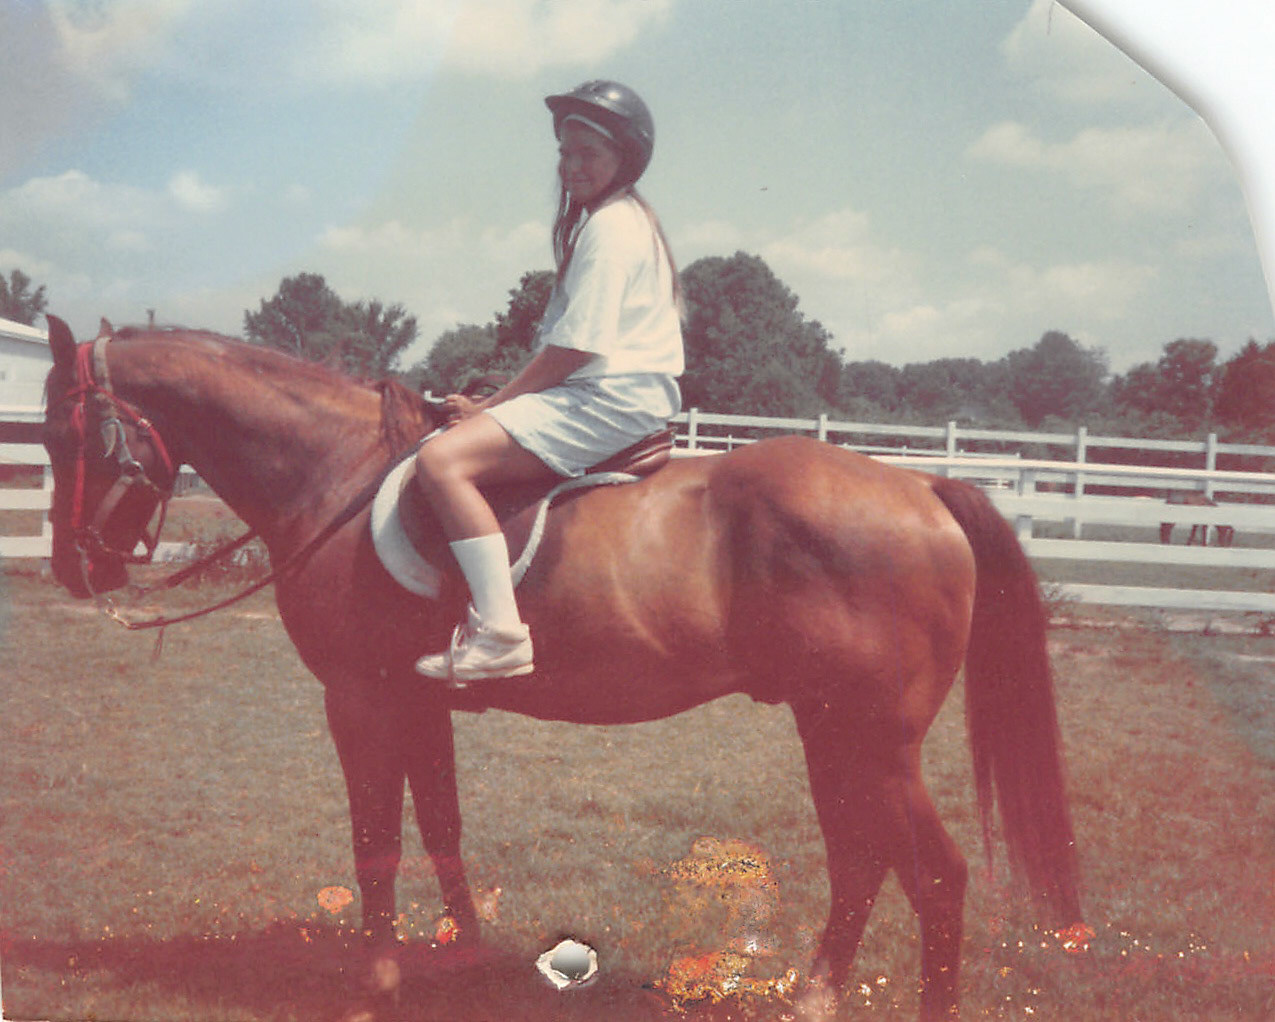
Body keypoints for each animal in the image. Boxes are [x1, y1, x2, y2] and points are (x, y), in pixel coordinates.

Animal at [40, 315, 1082, 1021]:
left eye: (62, 435)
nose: (75, 570)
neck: (335, 478)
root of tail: (923, 486)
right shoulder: (417, 703)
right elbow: (441, 826)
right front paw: (459, 956)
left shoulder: (358, 702)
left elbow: (377, 842)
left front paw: (375, 979)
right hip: (829, 727)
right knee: (860, 859)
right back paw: (814, 996)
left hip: (873, 741)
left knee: (935, 876)